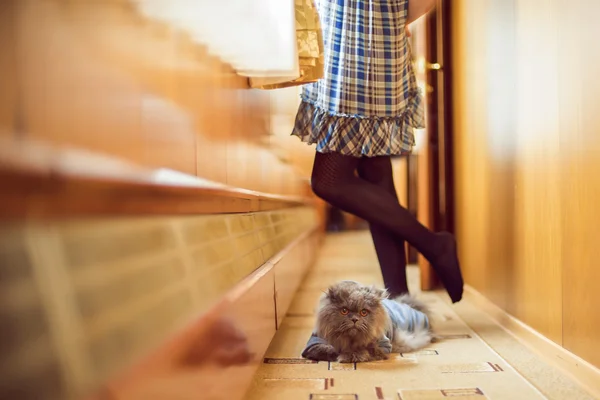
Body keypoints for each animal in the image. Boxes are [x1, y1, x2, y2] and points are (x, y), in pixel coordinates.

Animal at [300, 282, 436, 362]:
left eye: (363, 312)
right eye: (344, 311)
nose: (354, 319)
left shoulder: (384, 345)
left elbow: (368, 349)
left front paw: (352, 355)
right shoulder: (314, 344)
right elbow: (329, 349)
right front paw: (344, 353)